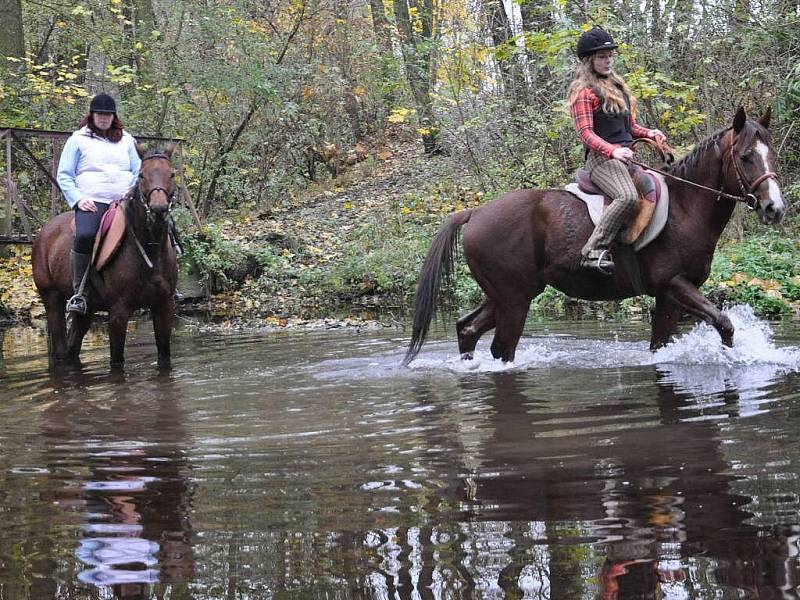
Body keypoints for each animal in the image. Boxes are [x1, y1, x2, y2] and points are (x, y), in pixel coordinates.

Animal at [32, 146, 178, 370]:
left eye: (171, 174)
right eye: (141, 175)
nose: (158, 210)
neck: (150, 251)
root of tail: (43, 232)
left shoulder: (164, 306)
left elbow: (164, 357)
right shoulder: (118, 311)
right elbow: (116, 362)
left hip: (87, 310)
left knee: (73, 346)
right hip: (52, 298)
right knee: (60, 348)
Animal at [406, 105, 788, 364]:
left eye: (772, 154)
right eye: (746, 157)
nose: (775, 208)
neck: (685, 208)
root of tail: (474, 213)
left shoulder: (668, 297)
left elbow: (660, 345)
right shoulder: (675, 285)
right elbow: (724, 323)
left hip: (506, 294)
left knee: (467, 328)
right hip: (514, 299)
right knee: (502, 349)